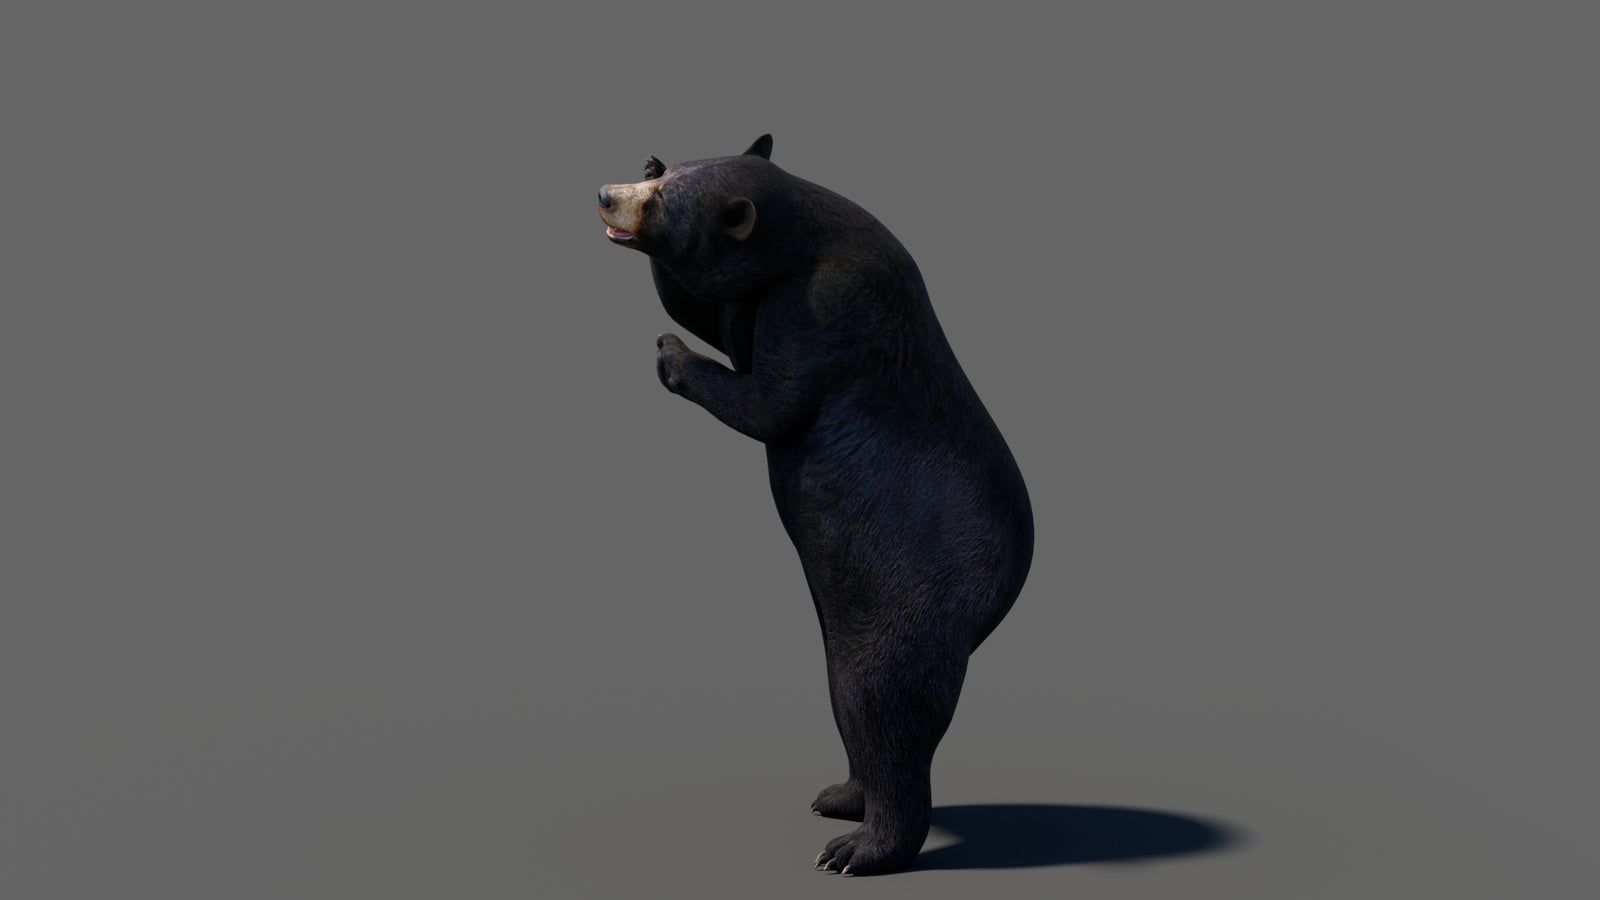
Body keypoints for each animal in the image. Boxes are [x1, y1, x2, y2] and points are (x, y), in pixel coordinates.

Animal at [598, 135, 1033, 875]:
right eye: (658, 175)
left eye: (662, 202)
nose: (606, 195)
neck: (806, 233)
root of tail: (998, 600)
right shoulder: (761, 291)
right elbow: (715, 312)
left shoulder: (822, 304)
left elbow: (769, 400)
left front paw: (670, 353)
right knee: (848, 700)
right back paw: (841, 796)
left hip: (910, 601)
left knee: (880, 702)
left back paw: (860, 848)